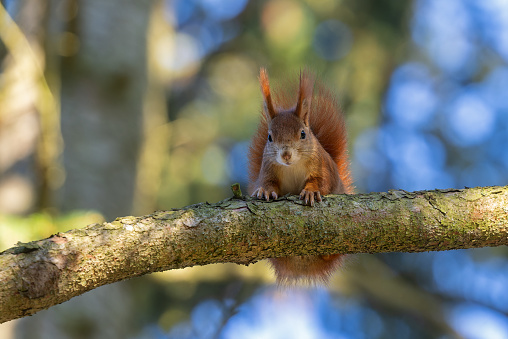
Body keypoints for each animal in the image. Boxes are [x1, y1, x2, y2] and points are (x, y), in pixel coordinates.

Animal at [247, 68, 352, 284]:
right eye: (269, 137)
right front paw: (265, 191)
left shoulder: (322, 168)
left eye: (303, 134)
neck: (292, 166)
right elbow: (268, 182)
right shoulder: (268, 168)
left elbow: (320, 182)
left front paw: (310, 192)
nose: (286, 155)